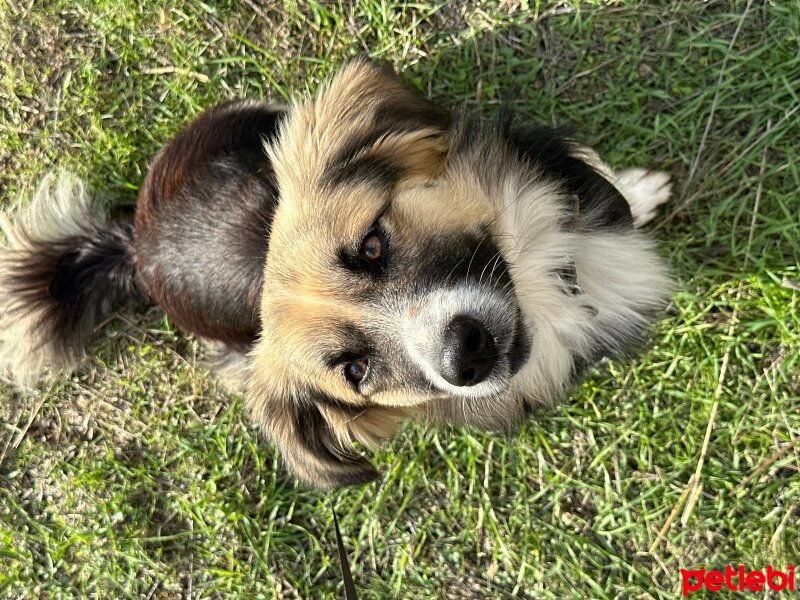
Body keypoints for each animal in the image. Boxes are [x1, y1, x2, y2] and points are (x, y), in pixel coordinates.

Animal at [0, 61, 672, 488]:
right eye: (356, 371)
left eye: (370, 246)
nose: (465, 355)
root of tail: (134, 249)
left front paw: (641, 192)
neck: (540, 280)